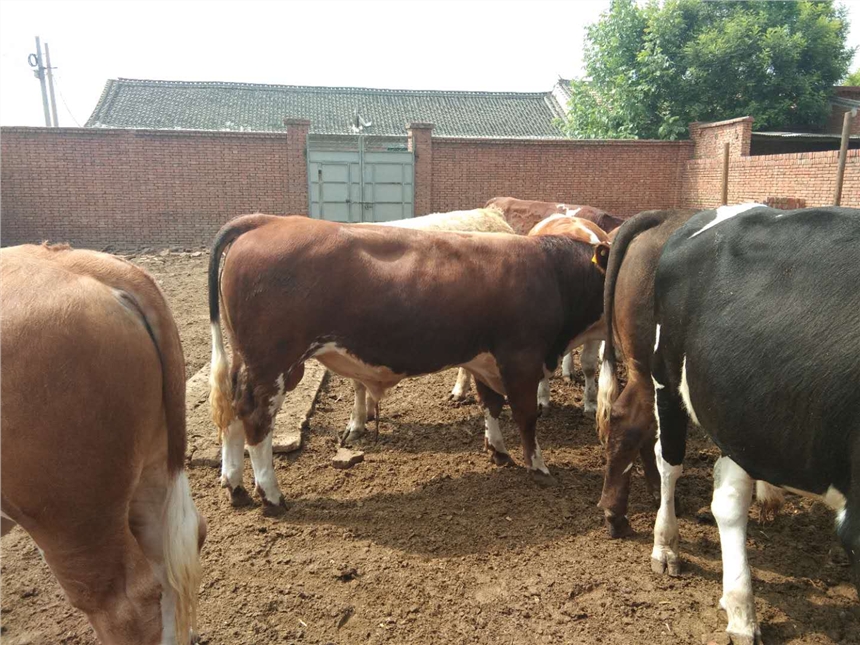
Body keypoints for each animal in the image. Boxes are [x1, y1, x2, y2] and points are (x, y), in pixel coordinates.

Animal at [208, 214, 612, 510]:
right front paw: (539, 465)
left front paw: (497, 450)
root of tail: (268, 220)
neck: (553, 273)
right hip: (272, 364)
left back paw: (235, 486)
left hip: (248, 361)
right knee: (256, 418)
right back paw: (270, 494)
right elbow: (526, 417)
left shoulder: (486, 361)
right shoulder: (522, 359)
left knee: (232, 409)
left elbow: (491, 405)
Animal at [652, 204, 860, 640]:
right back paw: (666, 547)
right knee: (669, 462)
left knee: (727, 494)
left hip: (742, 416)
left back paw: (740, 608)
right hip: (666, 373)